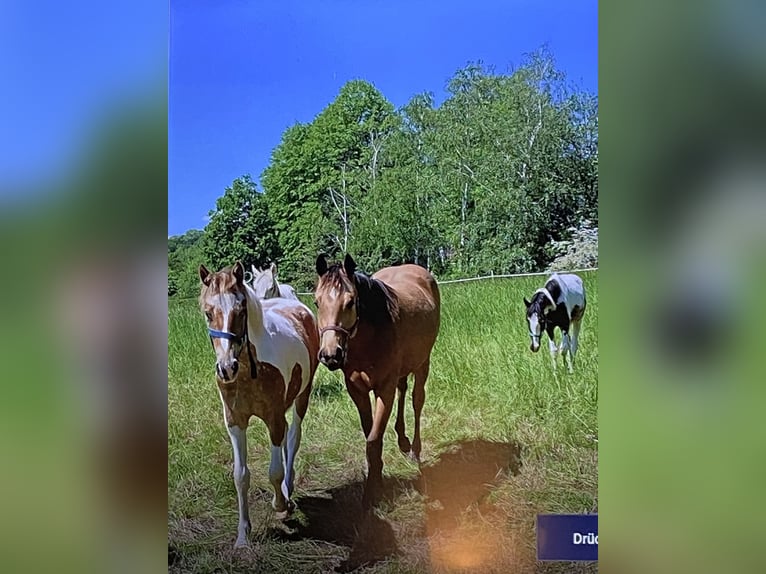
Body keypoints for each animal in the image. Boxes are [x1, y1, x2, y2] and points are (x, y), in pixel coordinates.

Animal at [200, 260, 320, 548]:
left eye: (240, 310)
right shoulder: (235, 422)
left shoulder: (273, 417)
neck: (248, 370)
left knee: (293, 435)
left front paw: (281, 504)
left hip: (302, 395)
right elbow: (240, 476)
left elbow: (274, 471)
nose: (226, 368)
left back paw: (289, 487)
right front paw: (243, 536)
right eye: (208, 313)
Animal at [314, 255, 444, 508]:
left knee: (416, 401)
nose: (331, 354)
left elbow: (373, 441)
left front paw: (372, 493)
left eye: (350, 302)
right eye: (316, 302)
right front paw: (378, 480)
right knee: (403, 390)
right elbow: (370, 435)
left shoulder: (384, 388)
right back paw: (402, 440)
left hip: (422, 363)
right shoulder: (357, 391)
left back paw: (414, 449)